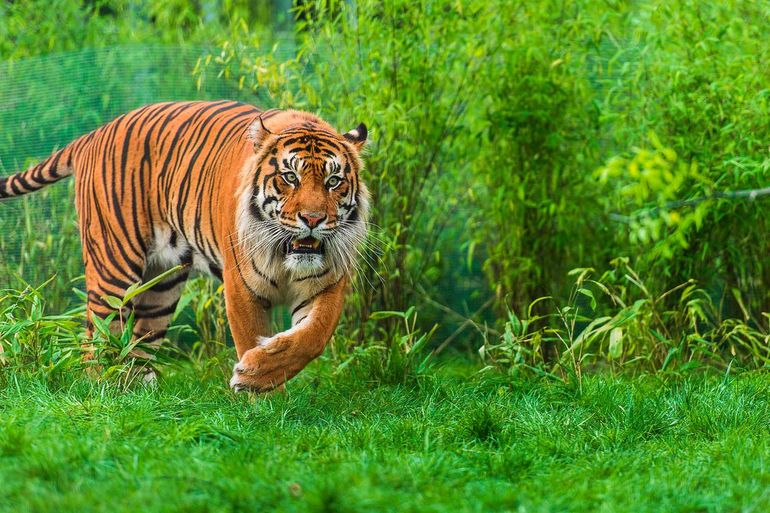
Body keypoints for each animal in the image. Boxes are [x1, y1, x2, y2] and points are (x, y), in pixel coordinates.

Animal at [0, 101, 369, 392]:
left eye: (333, 181)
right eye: (290, 177)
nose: (313, 219)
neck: (284, 256)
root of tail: (95, 133)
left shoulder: (328, 282)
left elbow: (313, 336)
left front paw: (259, 377)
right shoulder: (241, 287)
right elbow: (250, 335)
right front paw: (260, 393)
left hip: (161, 285)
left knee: (139, 340)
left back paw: (135, 390)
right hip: (113, 267)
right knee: (96, 339)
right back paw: (101, 390)